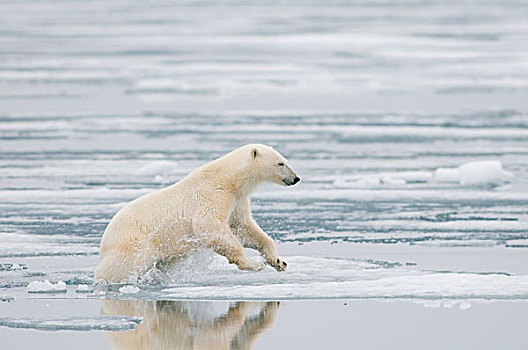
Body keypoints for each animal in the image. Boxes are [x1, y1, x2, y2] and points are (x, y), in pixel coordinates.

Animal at [94, 144, 300, 284]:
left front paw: (278, 261)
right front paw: (254, 264)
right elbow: (210, 227)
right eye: (280, 163)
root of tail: (105, 239)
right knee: (122, 266)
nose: (296, 178)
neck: (230, 179)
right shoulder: (213, 194)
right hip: (135, 241)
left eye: (286, 161)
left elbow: (244, 228)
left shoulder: (237, 200)